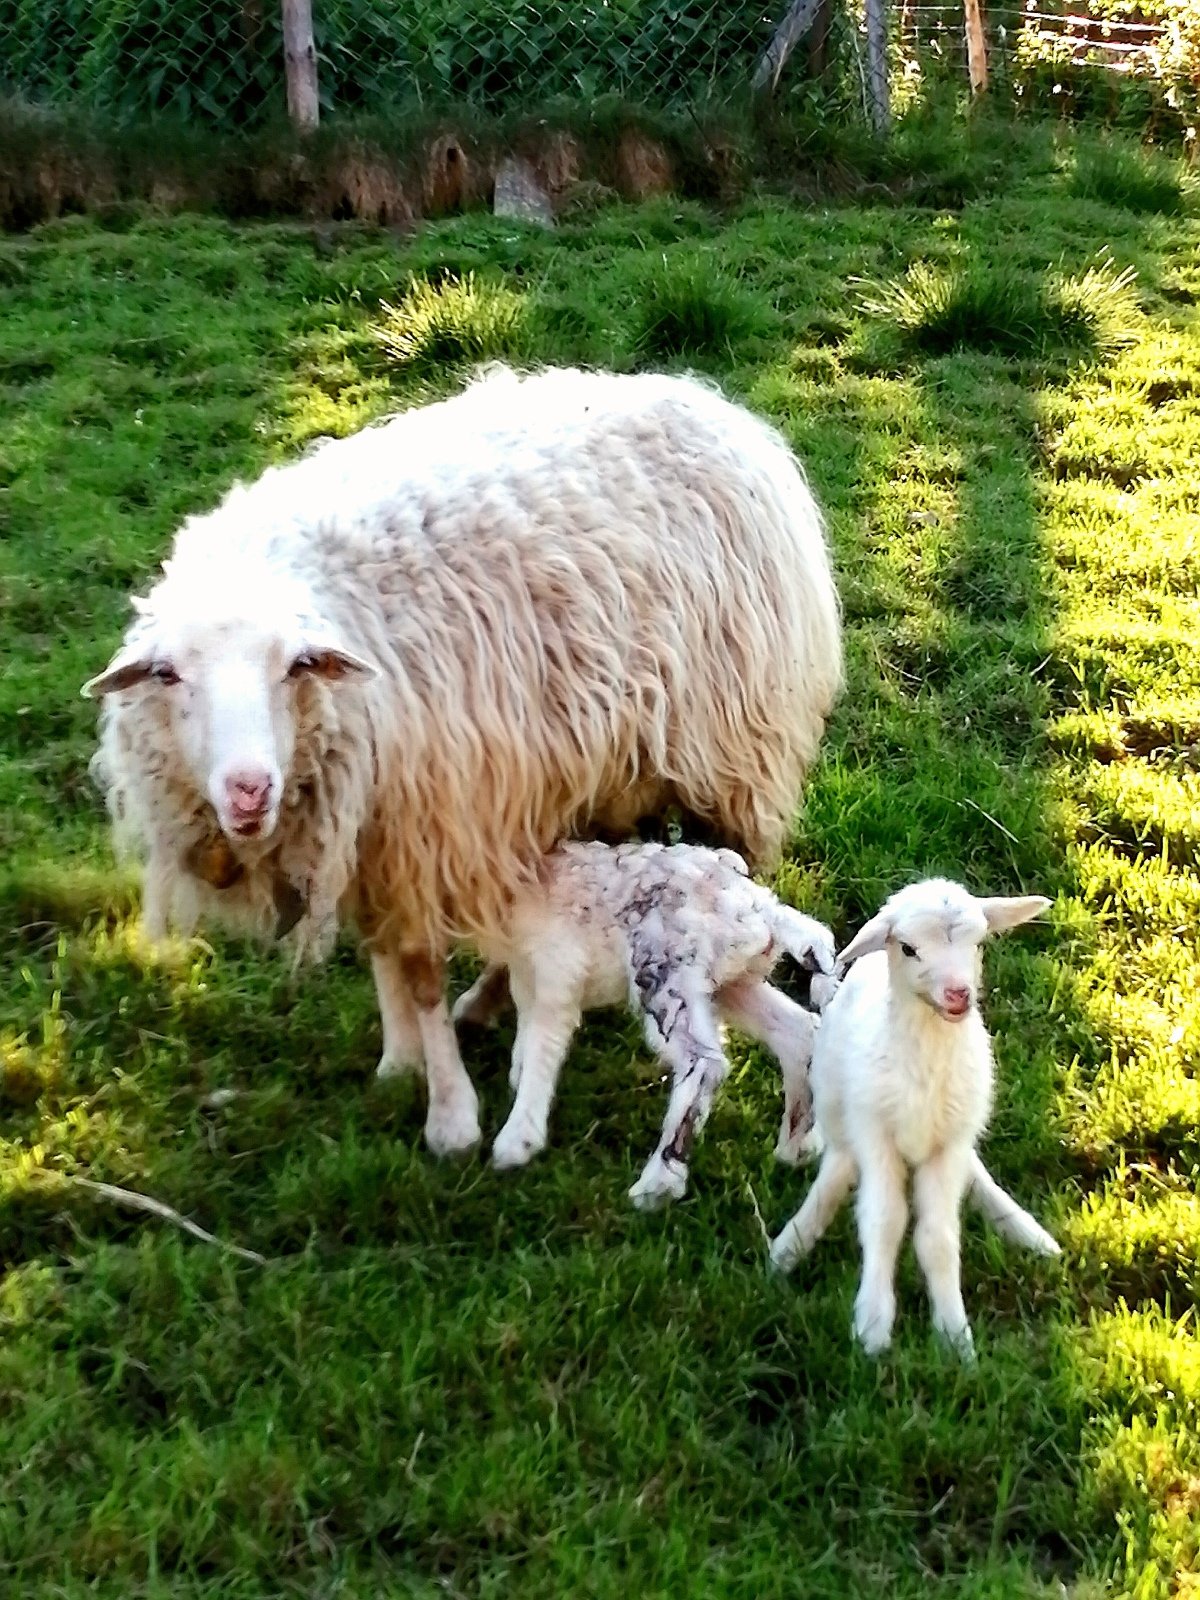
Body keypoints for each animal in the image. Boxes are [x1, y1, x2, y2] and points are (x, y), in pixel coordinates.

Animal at [83, 365, 842, 1159]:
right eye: (167, 676)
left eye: (294, 668)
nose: (249, 790)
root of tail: (712, 407)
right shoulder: (374, 834)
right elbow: (385, 953)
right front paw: (399, 1061)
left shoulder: (421, 826)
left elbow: (418, 972)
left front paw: (451, 1115)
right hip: (606, 755)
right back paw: (490, 997)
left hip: (728, 753)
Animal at [453, 839, 835, 1208]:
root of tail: (759, 909)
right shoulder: (525, 971)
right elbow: (525, 1017)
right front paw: (516, 1076)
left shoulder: (557, 967)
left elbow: (544, 1040)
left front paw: (516, 1142)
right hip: (729, 980)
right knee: (798, 1033)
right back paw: (796, 1146)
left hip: (667, 971)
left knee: (703, 1063)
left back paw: (657, 1185)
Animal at [768, 879, 1060, 1359]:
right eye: (907, 948)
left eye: (977, 943)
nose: (959, 994)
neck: (929, 1055)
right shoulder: (876, 1134)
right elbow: (884, 1221)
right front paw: (872, 1325)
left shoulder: (949, 1143)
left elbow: (938, 1237)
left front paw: (955, 1338)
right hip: (835, 1100)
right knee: (838, 1165)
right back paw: (793, 1243)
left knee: (973, 1170)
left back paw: (1025, 1231)